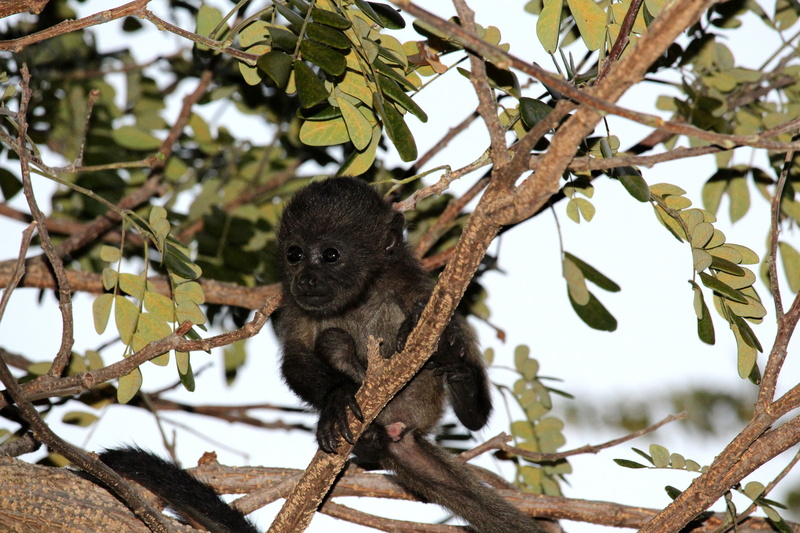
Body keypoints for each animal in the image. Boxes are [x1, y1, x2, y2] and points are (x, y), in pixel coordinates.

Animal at [273, 177, 543, 533]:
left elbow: (446, 322)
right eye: (294, 254)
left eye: (331, 254)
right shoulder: (292, 303)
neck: (359, 295)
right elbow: (295, 359)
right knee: (333, 339)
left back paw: (466, 389)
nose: (305, 278)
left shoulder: (406, 277)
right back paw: (370, 439)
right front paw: (337, 397)